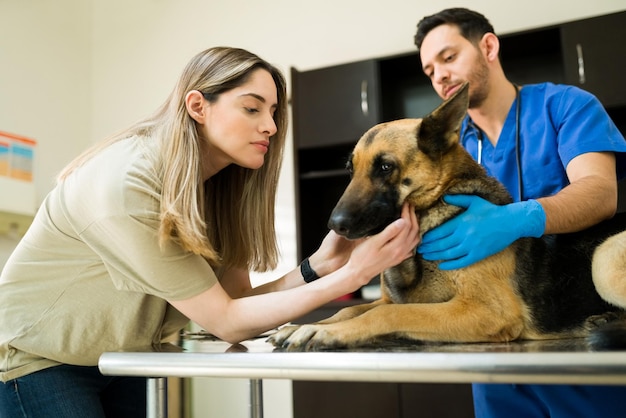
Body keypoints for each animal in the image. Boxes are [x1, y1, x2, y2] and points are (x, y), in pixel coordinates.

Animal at [270, 83, 624, 352]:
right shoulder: (386, 299)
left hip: (603, 260)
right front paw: (306, 325)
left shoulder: (487, 311)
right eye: (349, 169)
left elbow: (387, 315)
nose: (335, 226)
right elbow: (350, 307)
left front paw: (325, 331)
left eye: (384, 167)